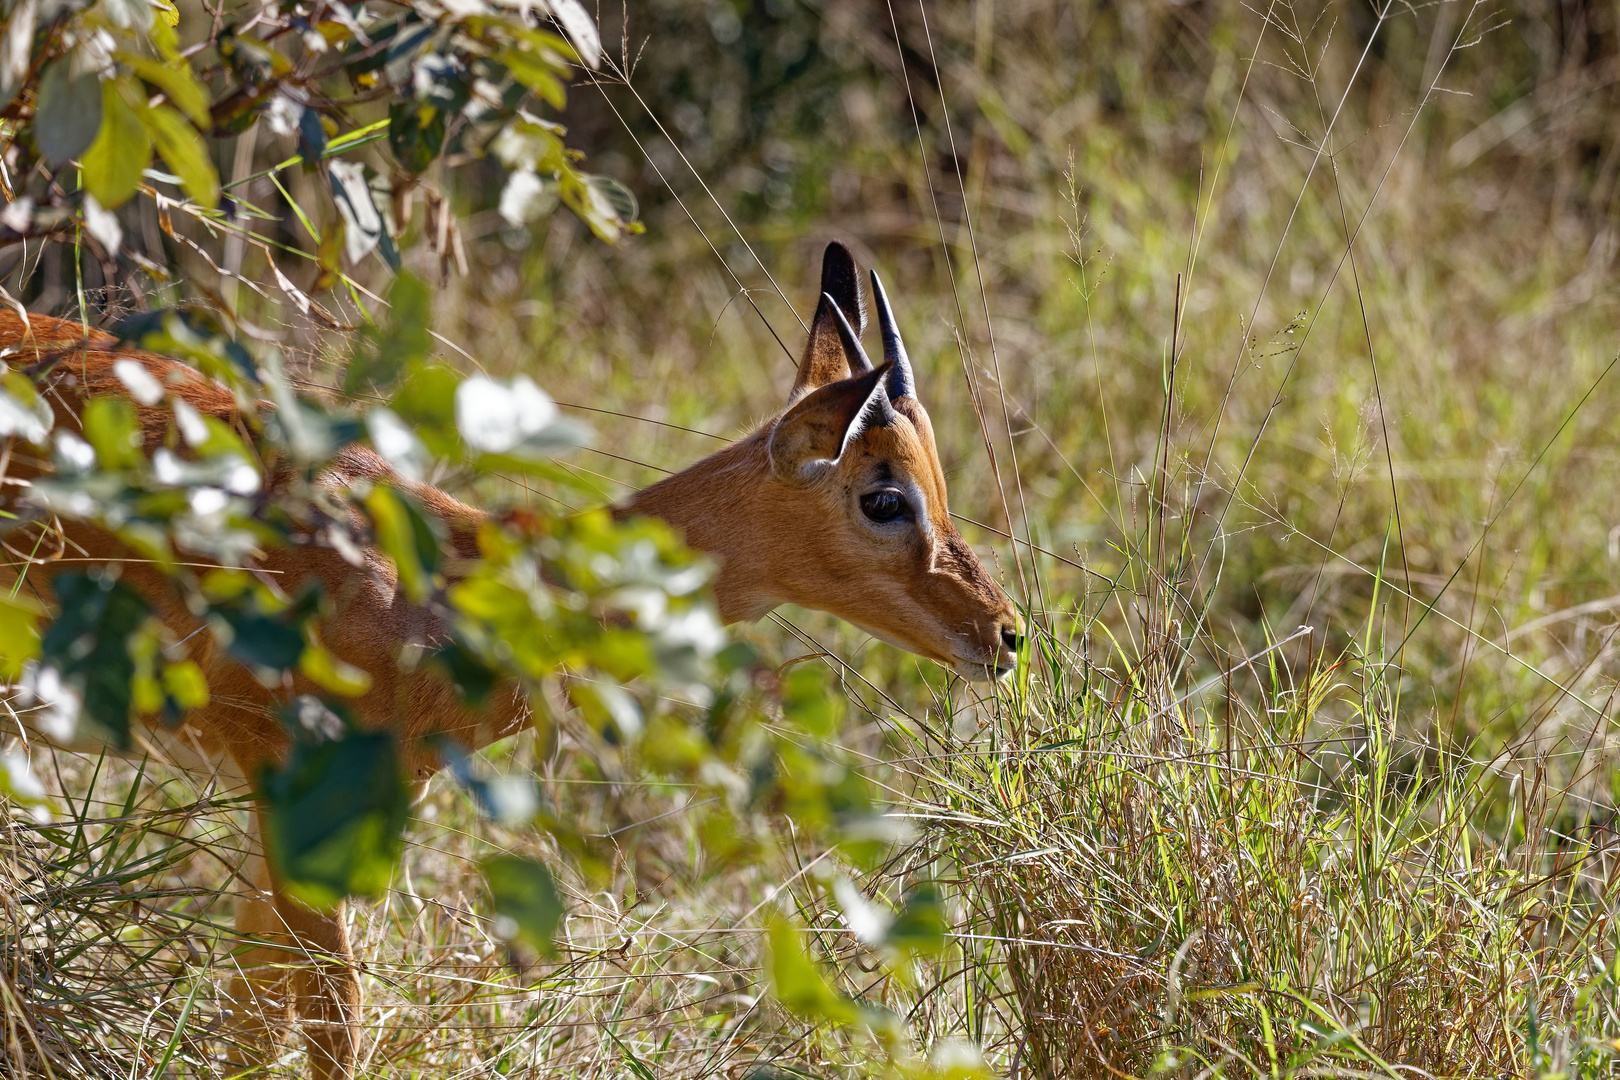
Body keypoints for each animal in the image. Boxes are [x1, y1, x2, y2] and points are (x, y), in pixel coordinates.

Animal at [0, 241, 1010, 1075]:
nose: (1006, 633)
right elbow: (329, 1018)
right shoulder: (306, 799)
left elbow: (251, 1018)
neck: (443, 583)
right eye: (884, 496)